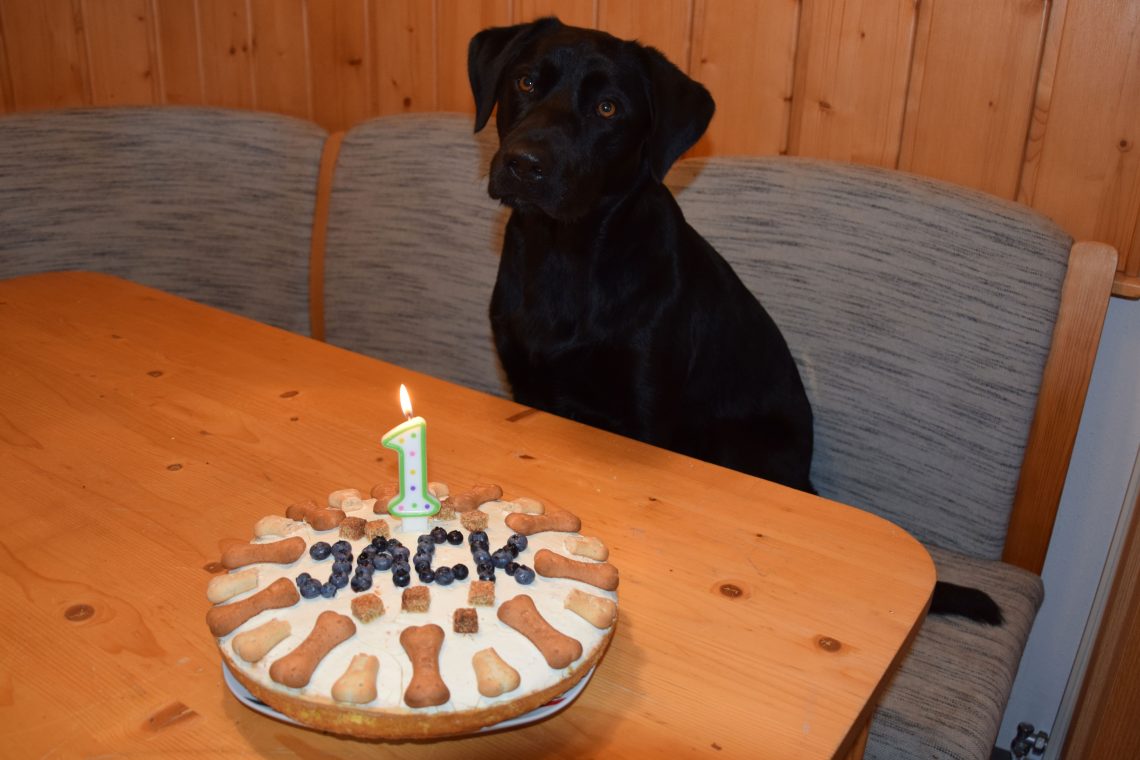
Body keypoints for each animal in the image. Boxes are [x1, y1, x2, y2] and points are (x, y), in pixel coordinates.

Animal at [467, 17, 1003, 624]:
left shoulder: (644, 412)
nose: (524, 163)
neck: (564, 254)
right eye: (526, 81)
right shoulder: (527, 383)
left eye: (608, 108)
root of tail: (806, 479)